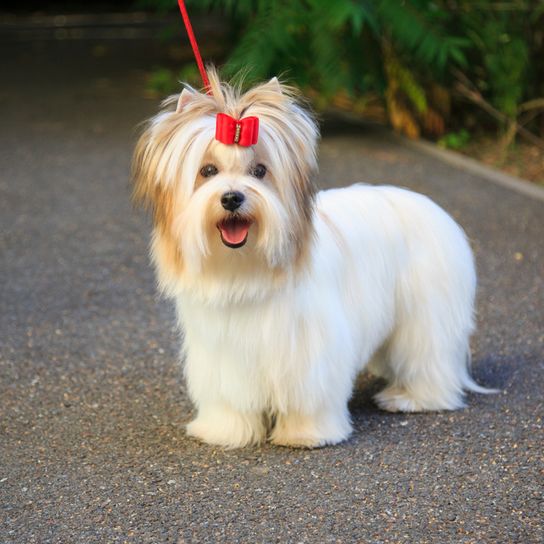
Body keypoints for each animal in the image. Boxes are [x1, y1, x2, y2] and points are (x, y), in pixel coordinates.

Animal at [132, 70, 488, 448]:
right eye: (208, 171)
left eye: (260, 171)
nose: (231, 198)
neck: (244, 265)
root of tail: (431, 206)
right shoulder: (223, 352)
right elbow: (230, 397)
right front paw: (226, 430)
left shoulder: (309, 351)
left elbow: (309, 394)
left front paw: (306, 433)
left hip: (426, 315)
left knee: (428, 357)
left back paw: (412, 397)